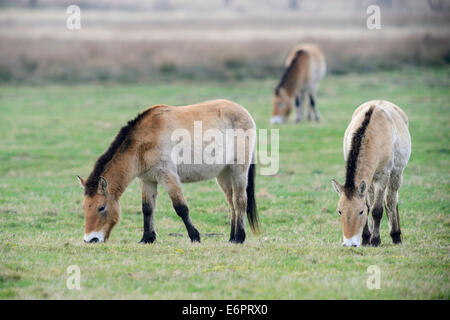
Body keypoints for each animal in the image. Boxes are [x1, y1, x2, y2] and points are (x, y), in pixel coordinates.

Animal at [77, 100, 258, 245]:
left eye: (101, 207)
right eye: (85, 207)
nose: (90, 239)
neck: (143, 143)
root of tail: (244, 112)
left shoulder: (168, 176)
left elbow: (181, 208)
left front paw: (195, 237)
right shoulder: (147, 180)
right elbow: (147, 208)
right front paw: (147, 238)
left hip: (238, 171)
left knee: (240, 201)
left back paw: (239, 237)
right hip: (224, 174)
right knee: (232, 203)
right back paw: (232, 237)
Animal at [330, 100, 412, 248]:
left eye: (360, 212)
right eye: (340, 211)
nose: (349, 243)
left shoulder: (383, 176)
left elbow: (376, 210)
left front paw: (375, 240)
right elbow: (369, 206)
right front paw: (366, 238)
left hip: (396, 174)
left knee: (391, 201)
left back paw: (396, 235)